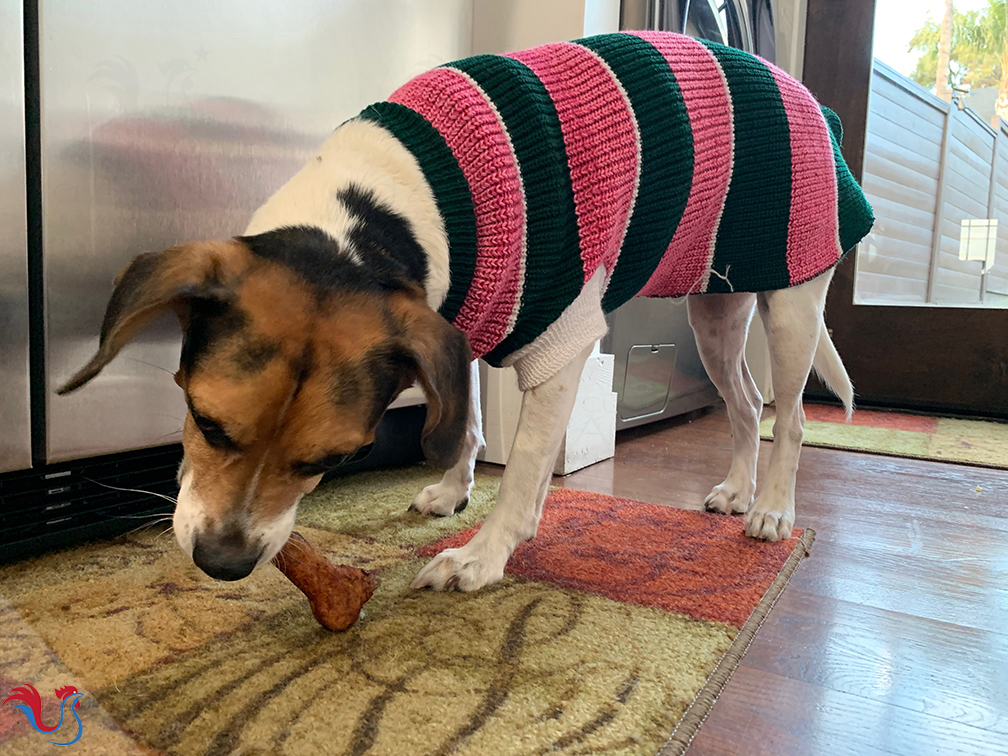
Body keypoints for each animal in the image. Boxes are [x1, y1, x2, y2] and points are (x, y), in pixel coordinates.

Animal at [58, 32, 870, 592]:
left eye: (329, 461)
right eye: (205, 422)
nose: (223, 563)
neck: (383, 204)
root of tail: (816, 104)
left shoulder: (561, 341)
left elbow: (527, 469)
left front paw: (484, 554)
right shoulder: (458, 327)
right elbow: (468, 420)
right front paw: (455, 489)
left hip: (792, 304)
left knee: (792, 417)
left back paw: (772, 509)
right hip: (716, 314)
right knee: (745, 403)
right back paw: (738, 489)